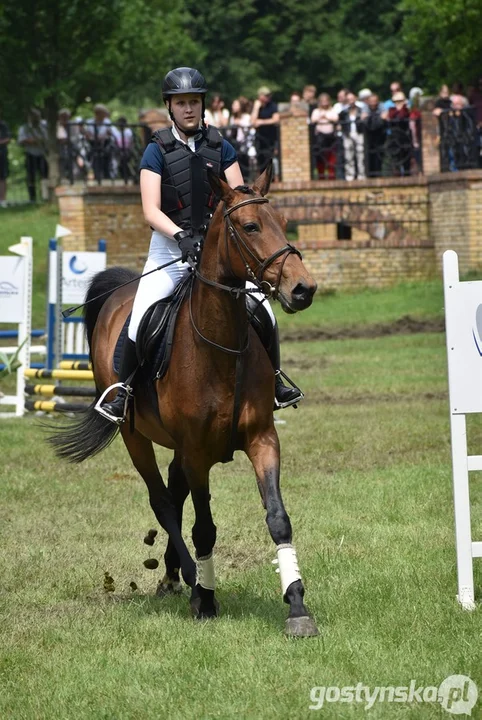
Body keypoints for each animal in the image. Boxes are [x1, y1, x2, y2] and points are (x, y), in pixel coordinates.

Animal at [50, 162, 320, 636]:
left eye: (283, 221)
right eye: (250, 226)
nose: (303, 289)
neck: (220, 345)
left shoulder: (262, 439)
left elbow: (278, 518)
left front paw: (297, 605)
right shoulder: (197, 453)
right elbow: (204, 528)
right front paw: (207, 599)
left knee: (173, 496)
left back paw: (175, 576)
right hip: (135, 437)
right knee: (163, 501)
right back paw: (191, 579)